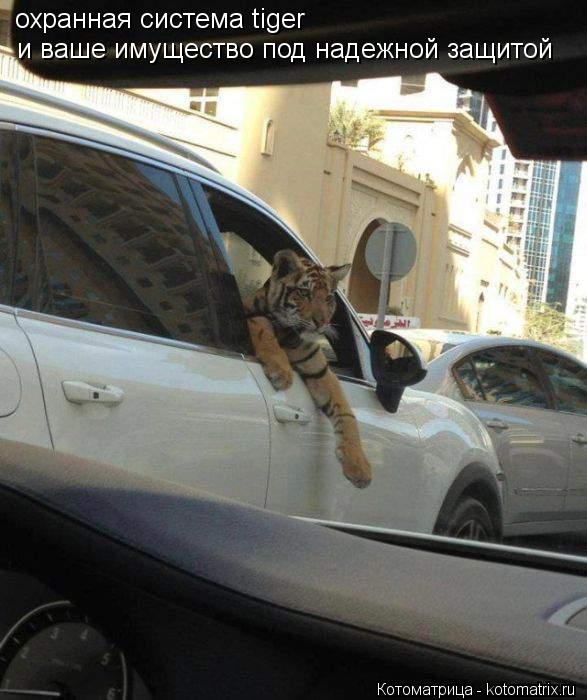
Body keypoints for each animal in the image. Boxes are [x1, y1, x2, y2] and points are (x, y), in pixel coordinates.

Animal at [244, 249, 372, 489]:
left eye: (329, 298)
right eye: (304, 293)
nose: (321, 321)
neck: (291, 335)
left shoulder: (319, 370)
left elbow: (346, 413)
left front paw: (358, 465)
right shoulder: (249, 315)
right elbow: (262, 326)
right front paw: (282, 373)